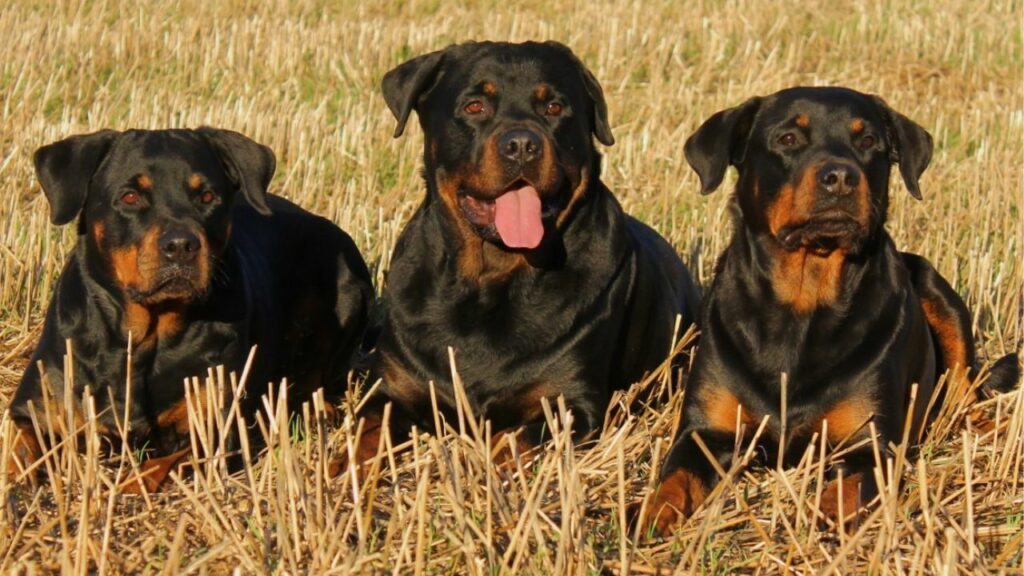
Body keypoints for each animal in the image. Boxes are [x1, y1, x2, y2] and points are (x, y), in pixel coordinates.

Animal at [7, 126, 372, 487]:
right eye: (130, 196)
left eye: (207, 197)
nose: (181, 245)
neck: (145, 335)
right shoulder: (38, 405)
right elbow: (17, 446)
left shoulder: (216, 428)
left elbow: (160, 466)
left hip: (348, 284)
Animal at [339, 41, 700, 467]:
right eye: (474, 106)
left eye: (555, 107)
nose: (522, 145)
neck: (490, 278)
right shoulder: (394, 386)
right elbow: (364, 431)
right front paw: (342, 467)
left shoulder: (571, 403)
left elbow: (512, 439)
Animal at [634, 87, 1019, 537]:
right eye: (788, 139)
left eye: (868, 140)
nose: (840, 176)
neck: (803, 301)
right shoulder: (704, 431)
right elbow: (674, 480)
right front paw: (648, 516)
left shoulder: (869, 442)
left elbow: (846, 491)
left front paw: (826, 524)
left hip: (938, 293)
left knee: (965, 392)